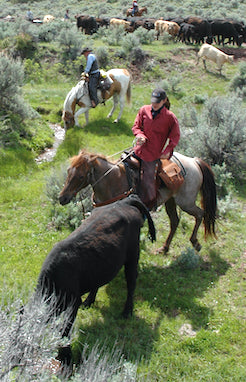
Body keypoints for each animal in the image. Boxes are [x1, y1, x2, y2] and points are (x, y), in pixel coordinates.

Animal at [34, 195, 156, 366]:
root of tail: (124, 201)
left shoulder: (73, 302)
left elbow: (64, 330)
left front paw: (65, 356)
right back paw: (89, 301)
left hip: (133, 255)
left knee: (131, 282)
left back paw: (127, 311)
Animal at [59, 149, 217, 254]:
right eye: (68, 171)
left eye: (80, 176)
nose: (62, 198)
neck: (112, 181)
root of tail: (194, 161)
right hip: (171, 200)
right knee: (175, 221)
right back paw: (164, 248)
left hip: (186, 202)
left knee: (200, 214)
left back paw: (195, 242)